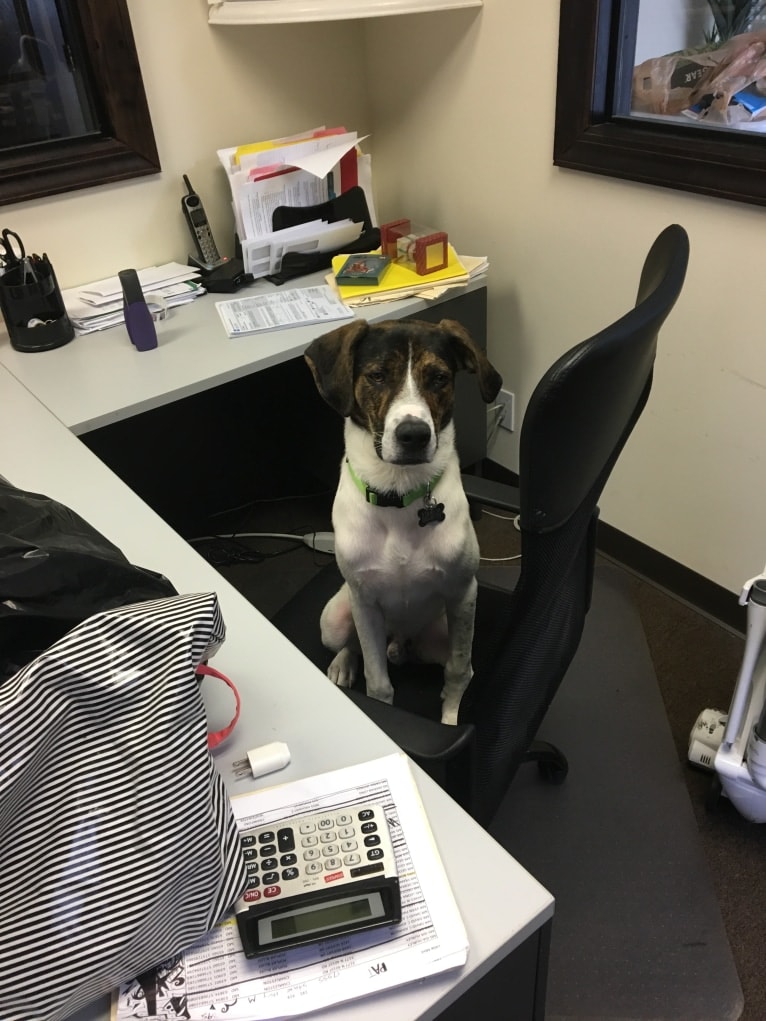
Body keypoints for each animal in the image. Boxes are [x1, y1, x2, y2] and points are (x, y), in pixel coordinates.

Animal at [306, 318, 504, 726]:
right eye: (377, 375)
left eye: (439, 378)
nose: (414, 435)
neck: (398, 495)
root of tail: (402, 638)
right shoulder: (364, 600)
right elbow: (377, 680)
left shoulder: (463, 593)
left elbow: (459, 673)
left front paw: (450, 718)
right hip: (335, 617)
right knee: (352, 644)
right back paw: (343, 664)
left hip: (440, 632)